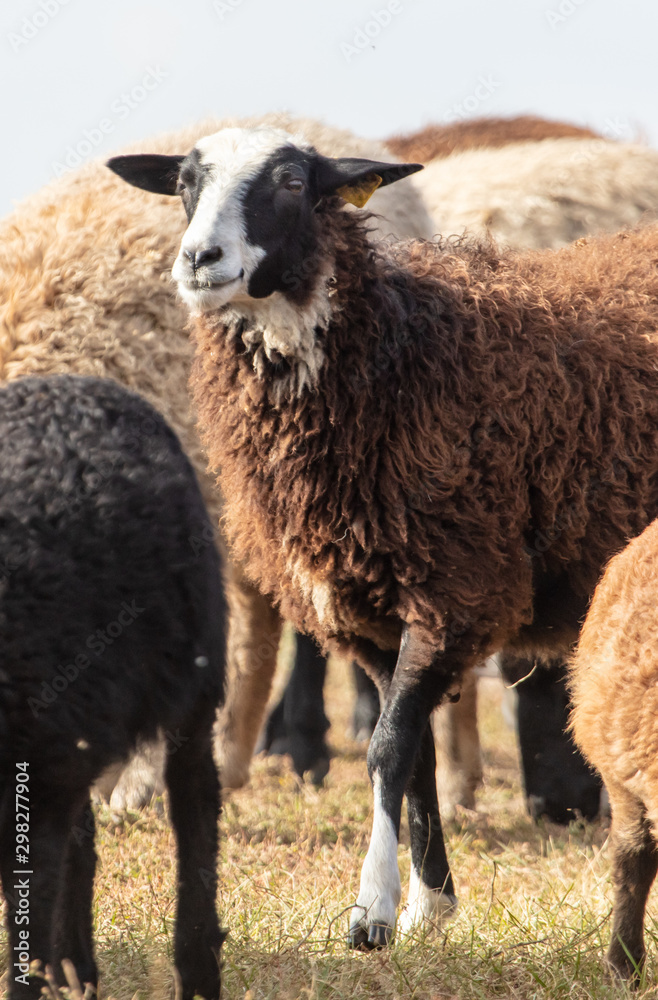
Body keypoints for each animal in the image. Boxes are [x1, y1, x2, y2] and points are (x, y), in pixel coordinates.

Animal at [0, 374, 225, 1000]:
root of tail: (78, 382)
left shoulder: (37, 774)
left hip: (193, 682)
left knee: (196, 808)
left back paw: (196, 969)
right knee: (83, 845)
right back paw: (77, 971)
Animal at [110, 124, 658, 948]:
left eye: (293, 182)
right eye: (183, 182)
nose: (199, 260)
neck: (393, 358)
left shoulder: (454, 591)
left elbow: (387, 749)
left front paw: (373, 909)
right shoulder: (366, 614)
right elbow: (416, 755)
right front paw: (432, 906)